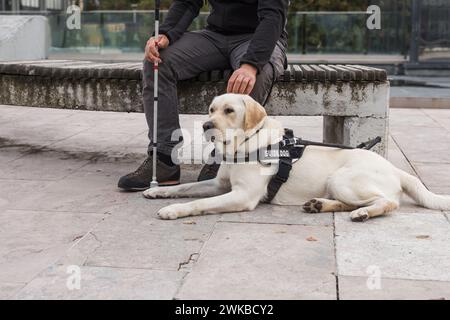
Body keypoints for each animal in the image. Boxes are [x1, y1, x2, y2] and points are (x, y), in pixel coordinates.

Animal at [143, 94, 450, 221]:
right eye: (211, 109)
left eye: (229, 110)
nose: (206, 126)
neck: (246, 144)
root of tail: (396, 170)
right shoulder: (220, 184)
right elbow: (186, 188)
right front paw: (158, 191)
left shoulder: (242, 196)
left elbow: (199, 203)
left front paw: (174, 210)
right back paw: (320, 205)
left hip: (344, 179)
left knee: (387, 203)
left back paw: (363, 213)